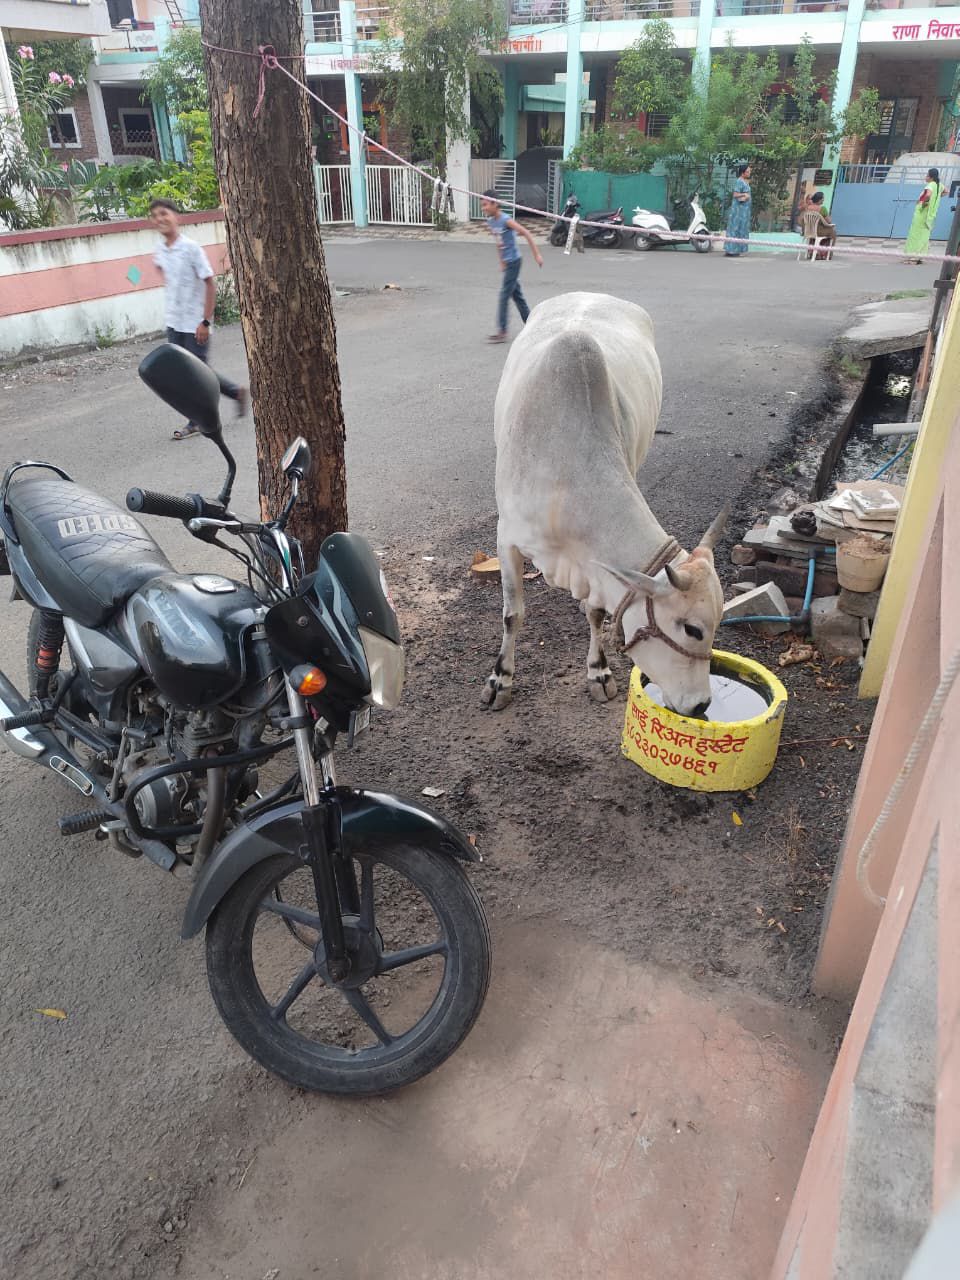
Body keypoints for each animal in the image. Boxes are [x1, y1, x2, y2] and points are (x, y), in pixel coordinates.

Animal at [481, 292, 727, 719]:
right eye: (692, 628)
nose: (700, 706)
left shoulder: (596, 568)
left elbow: (598, 612)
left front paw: (599, 672)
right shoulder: (506, 537)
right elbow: (513, 615)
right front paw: (500, 680)